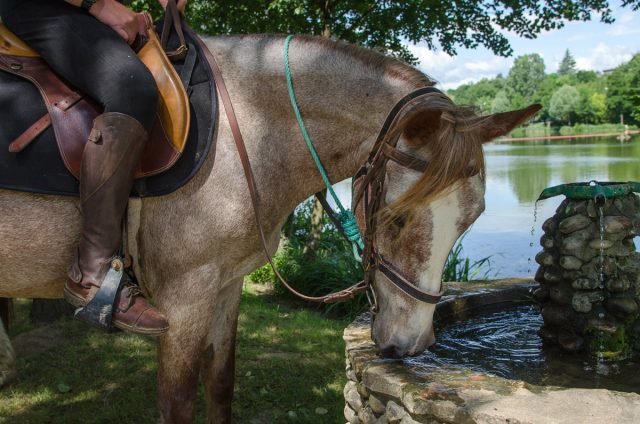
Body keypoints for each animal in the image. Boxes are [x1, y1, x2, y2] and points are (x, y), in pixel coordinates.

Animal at [0, 34, 540, 422]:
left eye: (471, 219)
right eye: (398, 217)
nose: (412, 344)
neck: (248, 129)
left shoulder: (225, 286)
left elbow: (220, 385)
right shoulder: (184, 297)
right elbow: (177, 401)